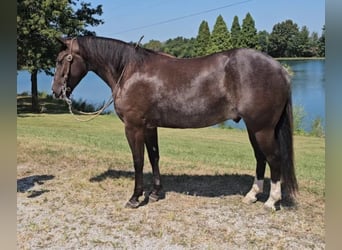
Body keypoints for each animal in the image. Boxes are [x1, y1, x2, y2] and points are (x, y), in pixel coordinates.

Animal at [52, 36, 298, 210]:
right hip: (253, 128)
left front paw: (135, 197)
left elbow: (138, 161)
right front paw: (155, 193)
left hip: (262, 128)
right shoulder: (149, 127)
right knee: (260, 158)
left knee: (274, 159)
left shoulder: (134, 127)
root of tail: (280, 69)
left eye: (61, 60)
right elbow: (154, 157)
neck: (129, 71)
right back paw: (252, 196)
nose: (56, 91)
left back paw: (271, 201)